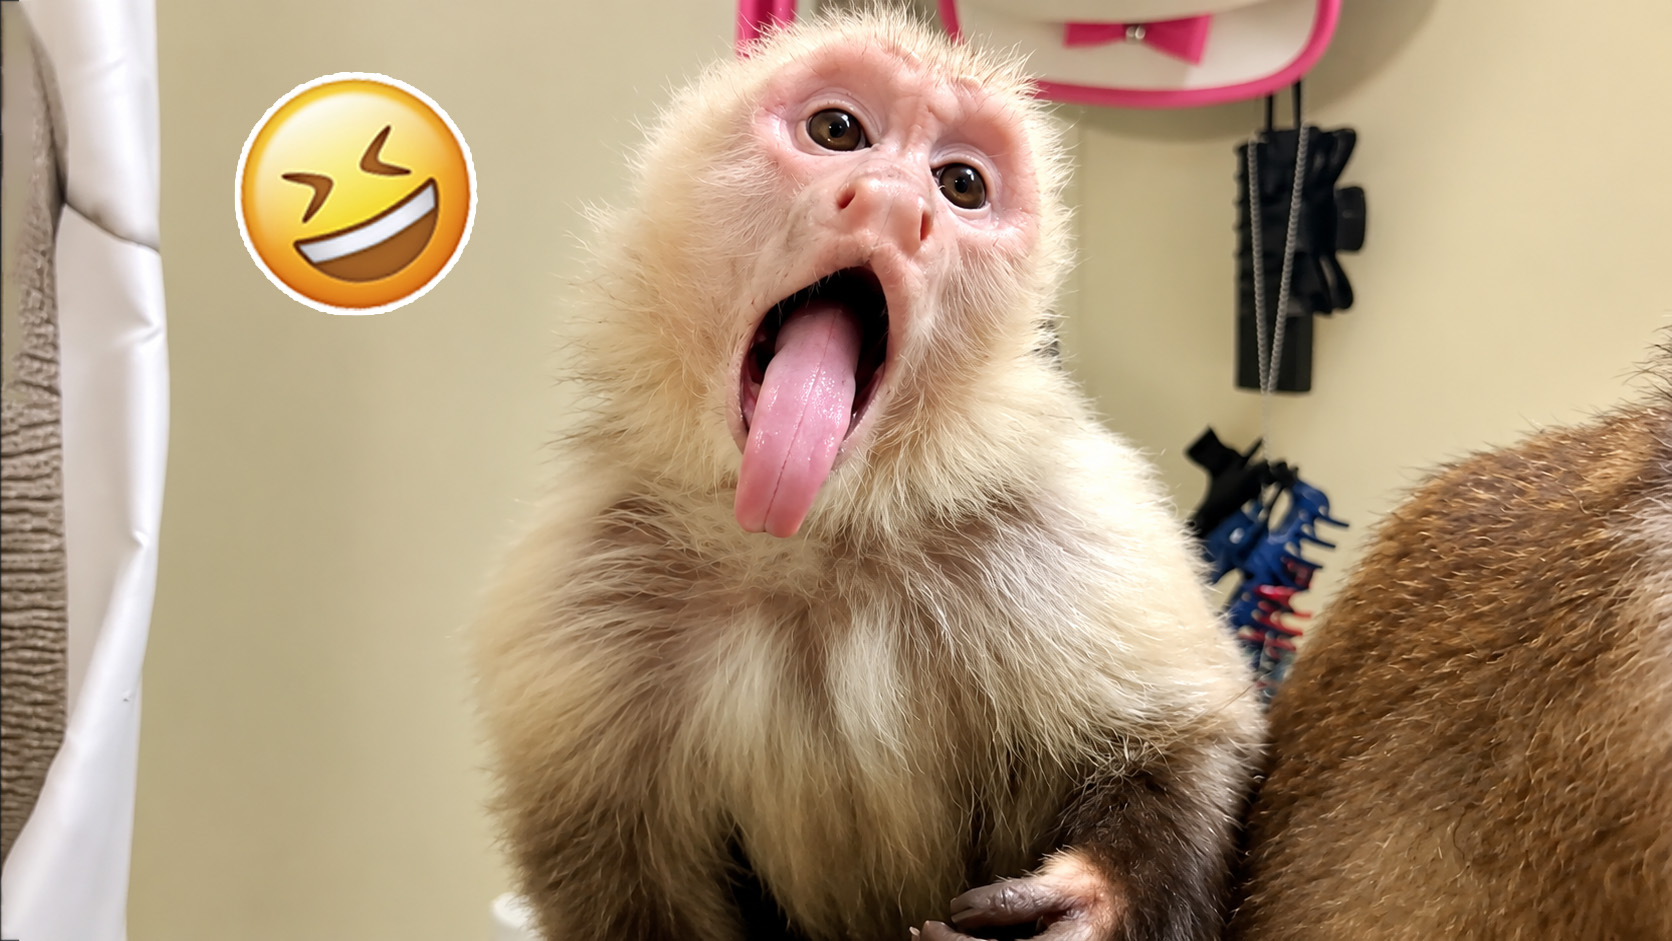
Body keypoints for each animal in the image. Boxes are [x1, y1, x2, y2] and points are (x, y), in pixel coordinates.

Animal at [471, 11, 1263, 941]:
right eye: (838, 131)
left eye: (960, 185)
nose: (893, 201)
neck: (812, 538)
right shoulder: (580, 582)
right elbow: (618, 886)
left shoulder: (1066, 525)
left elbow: (1196, 738)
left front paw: (1097, 898)